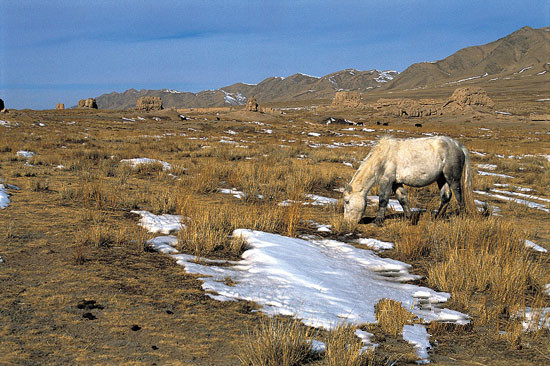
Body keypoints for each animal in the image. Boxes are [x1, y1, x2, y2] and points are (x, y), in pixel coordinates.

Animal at [344, 136, 478, 224]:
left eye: (347, 201)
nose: (347, 222)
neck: (382, 157)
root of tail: (458, 145)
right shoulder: (396, 183)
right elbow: (402, 199)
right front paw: (409, 217)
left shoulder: (386, 181)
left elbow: (383, 200)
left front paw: (378, 221)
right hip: (441, 179)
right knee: (446, 197)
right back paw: (437, 217)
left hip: (452, 178)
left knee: (459, 196)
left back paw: (461, 216)